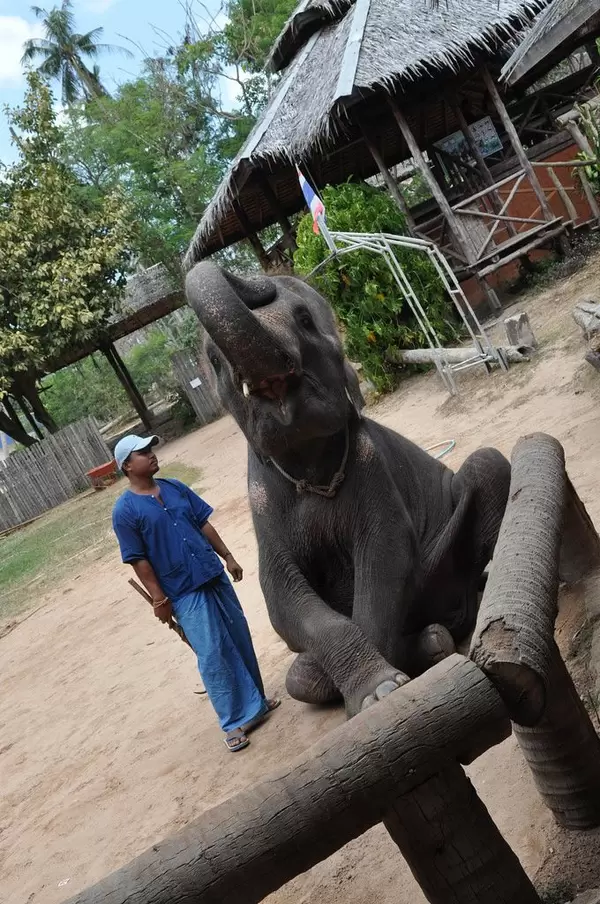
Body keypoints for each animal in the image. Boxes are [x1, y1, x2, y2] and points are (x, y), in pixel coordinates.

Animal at [185, 261, 511, 717]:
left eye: (305, 320)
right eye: (214, 359)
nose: (252, 279)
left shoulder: (373, 471)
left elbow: (385, 559)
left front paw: (381, 694)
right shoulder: (262, 502)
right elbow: (278, 592)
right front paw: (373, 688)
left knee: (488, 462)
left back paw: (446, 632)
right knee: (297, 678)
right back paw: (433, 640)